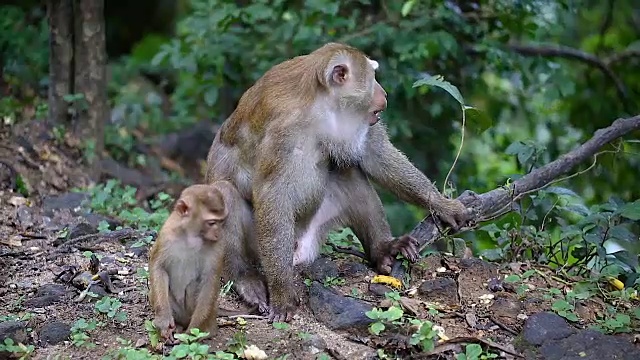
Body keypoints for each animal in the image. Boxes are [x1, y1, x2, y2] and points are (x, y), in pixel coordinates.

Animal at [148, 181, 250, 342]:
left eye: (222, 221)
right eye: (212, 222)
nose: (218, 232)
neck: (191, 235)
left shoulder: (218, 245)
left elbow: (209, 280)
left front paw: (193, 332)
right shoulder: (166, 233)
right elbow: (159, 267)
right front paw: (163, 320)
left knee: (195, 287)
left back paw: (206, 330)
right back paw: (177, 326)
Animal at [205, 43, 470, 324]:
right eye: (372, 77)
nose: (383, 94)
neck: (320, 106)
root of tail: (300, 250)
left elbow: (374, 155)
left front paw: (442, 205)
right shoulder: (283, 130)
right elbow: (272, 193)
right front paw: (282, 293)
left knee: (348, 172)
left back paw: (383, 250)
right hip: (261, 248)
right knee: (224, 193)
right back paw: (245, 278)